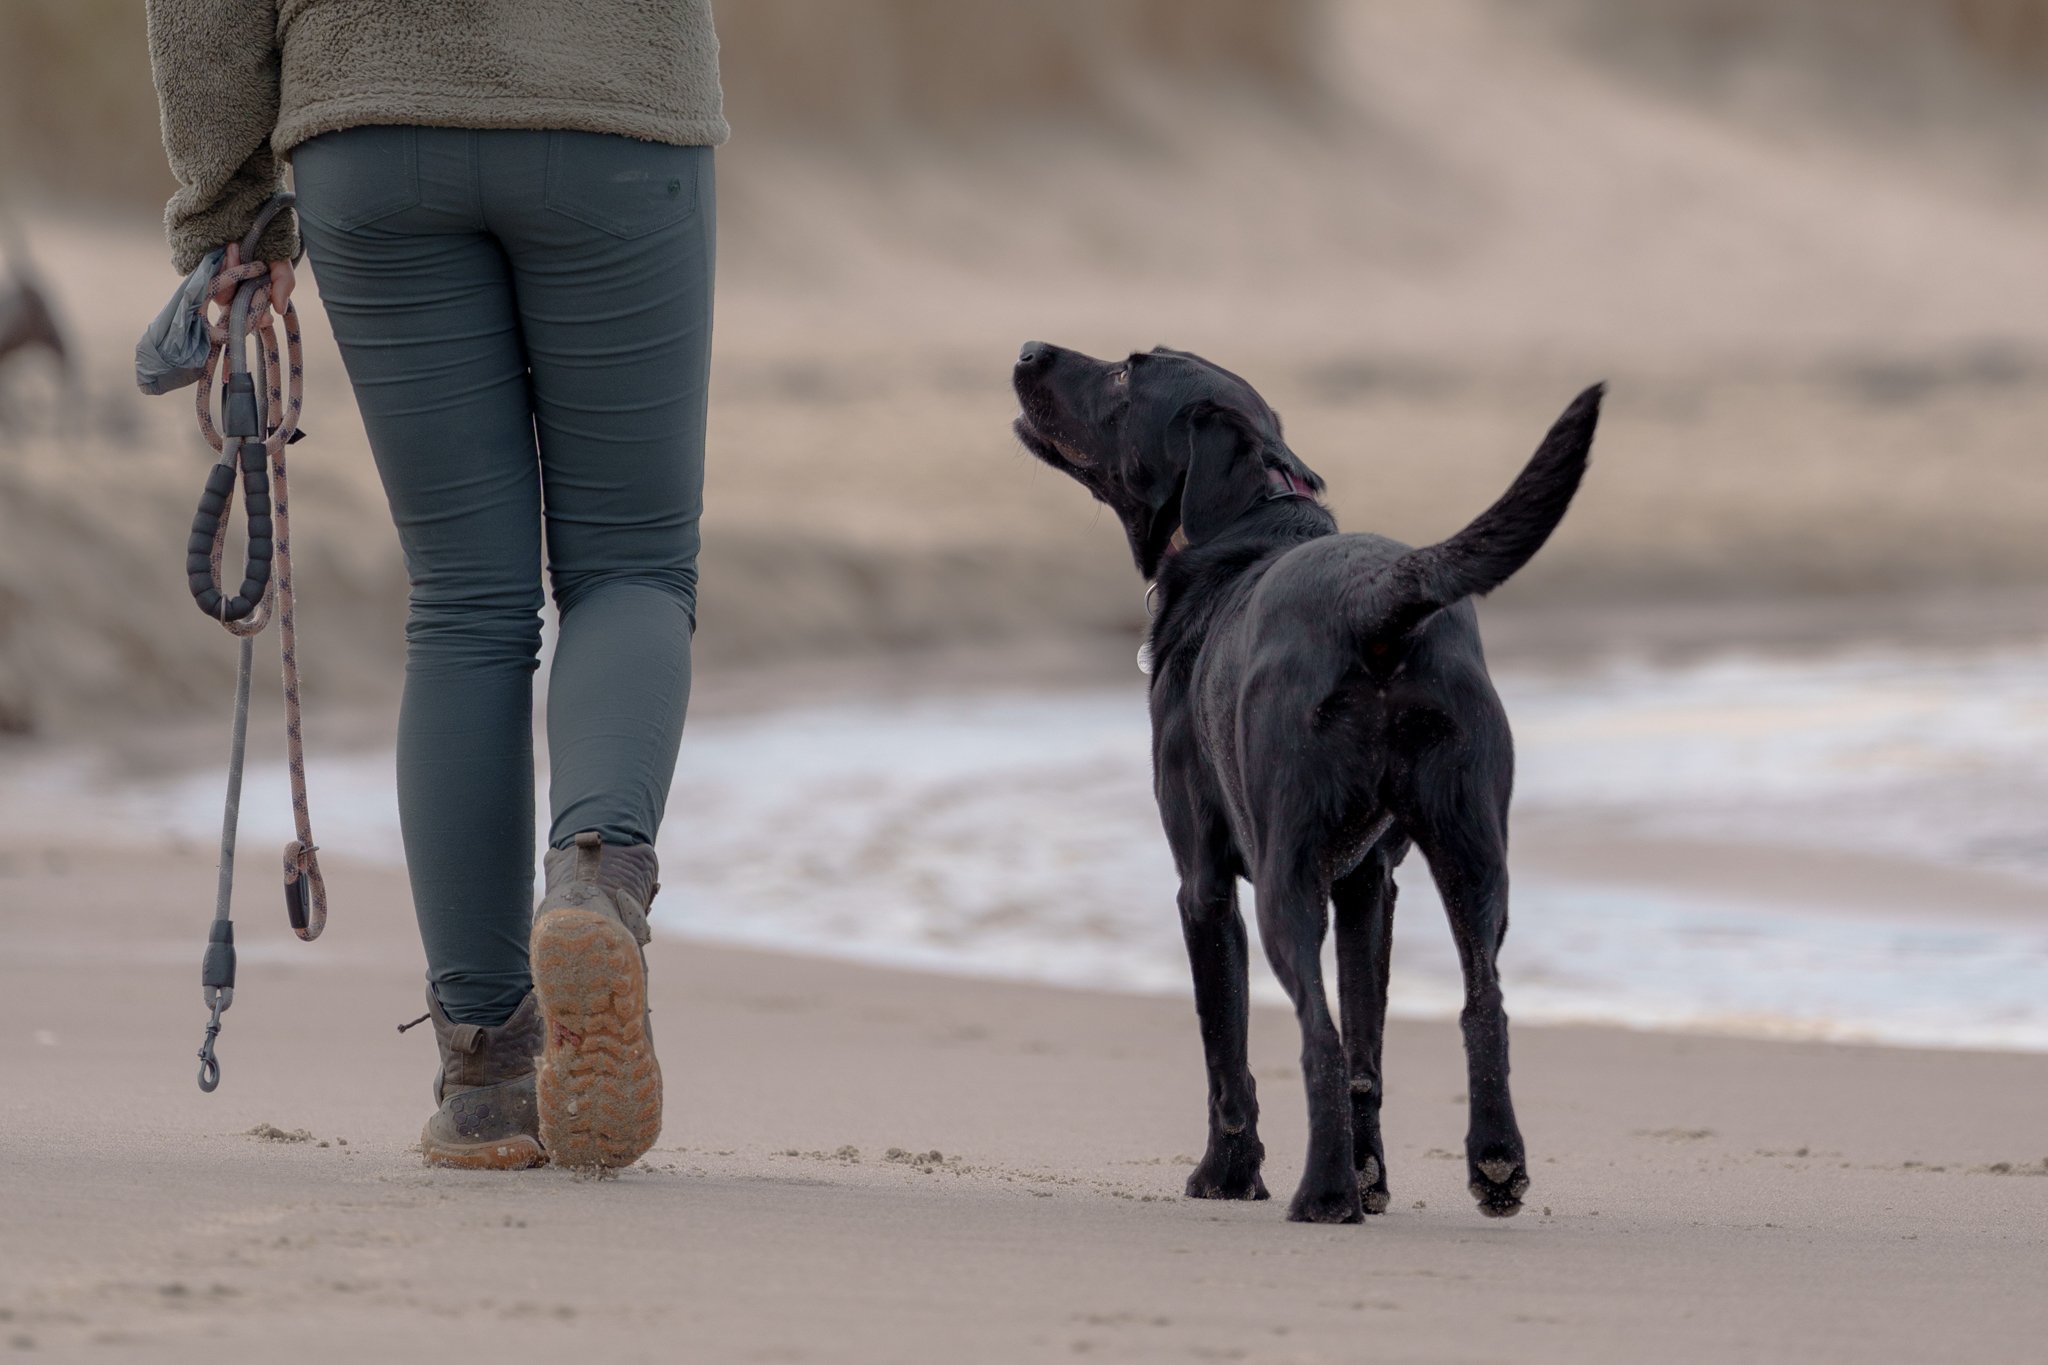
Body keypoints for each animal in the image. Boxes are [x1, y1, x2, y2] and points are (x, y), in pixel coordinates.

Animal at [1007, 343, 1597, 1227]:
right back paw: (1492, 1164)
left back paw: (1319, 1194)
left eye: (1126, 373)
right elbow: (1368, 1051)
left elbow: (1229, 1055)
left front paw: (1228, 1175)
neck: (1251, 523)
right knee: (1481, 1004)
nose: (1027, 352)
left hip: (1287, 879)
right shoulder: (1369, 886)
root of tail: (1379, 596)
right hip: (1473, 854)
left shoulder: (1205, 886)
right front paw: (1372, 1178)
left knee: (1316, 1037)